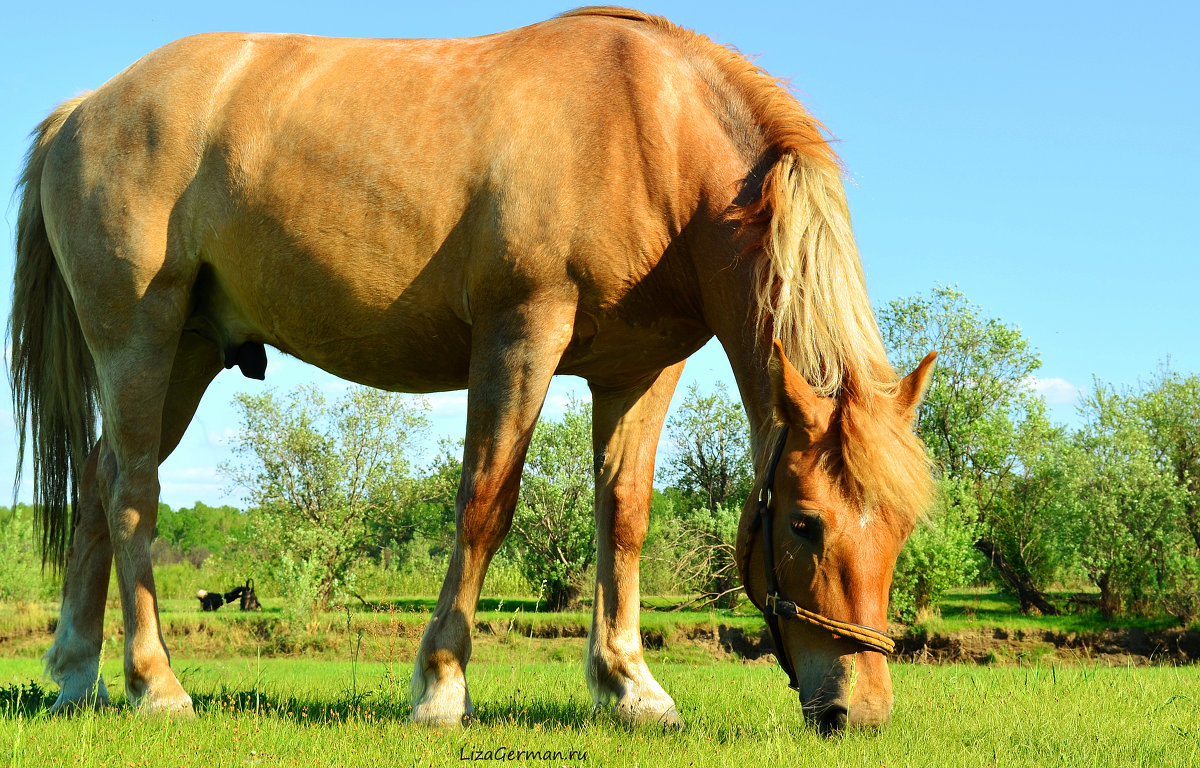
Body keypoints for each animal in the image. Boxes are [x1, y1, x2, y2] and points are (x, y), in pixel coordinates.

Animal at [9, 9, 936, 734]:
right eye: (805, 524)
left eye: (899, 529)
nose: (860, 711)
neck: (650, 132)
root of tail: (85, 108)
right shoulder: (519, 335)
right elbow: (487, 503)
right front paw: (442, 688)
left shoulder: (641, 370)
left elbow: (624, 518)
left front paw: (630, 687)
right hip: (139, 337)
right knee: (133, 495)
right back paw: (153, 685)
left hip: (191, 354)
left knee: (97, 485)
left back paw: (77, 678)